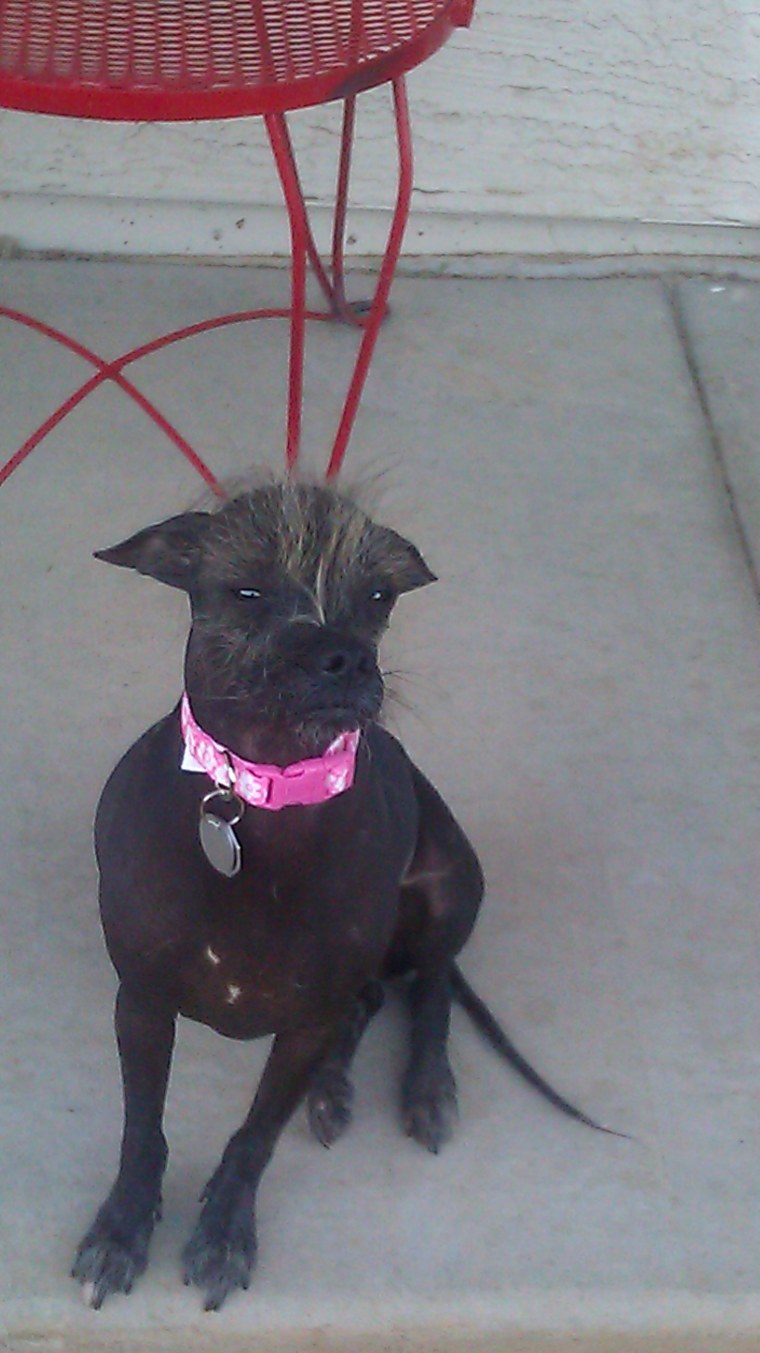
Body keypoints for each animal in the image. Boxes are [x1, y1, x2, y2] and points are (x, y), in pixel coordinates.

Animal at [70, 484, 603, 1309]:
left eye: (380, 595)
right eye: (246, 592)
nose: (345, 654)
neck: (261, 796)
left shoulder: (308, 1018)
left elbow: (255, 1137)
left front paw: (225, 1231)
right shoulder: (142, 1003)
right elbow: (141, 1128)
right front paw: (123, 1226)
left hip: (452, 882)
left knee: (429, 987)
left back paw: (422, 1086)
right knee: (376, 997)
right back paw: (335, 1085)